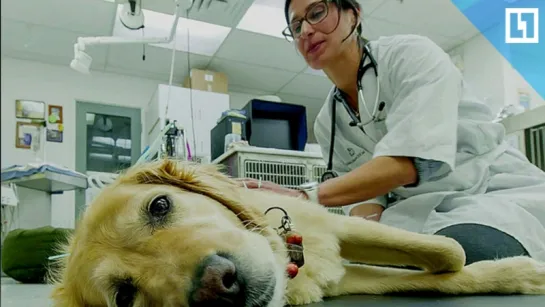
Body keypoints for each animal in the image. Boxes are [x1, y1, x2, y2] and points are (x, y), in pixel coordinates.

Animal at [47, 160, 544, 306]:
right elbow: (444, 273)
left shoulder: (337, 225)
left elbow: (451, 250)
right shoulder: (347, 279)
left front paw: (527, 271)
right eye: (124, 297)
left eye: (159, 206)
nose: (218, 285)